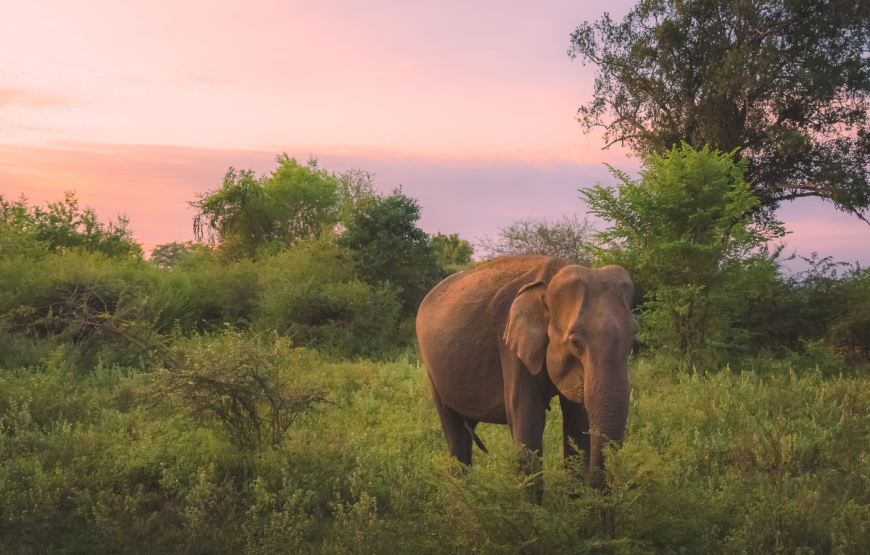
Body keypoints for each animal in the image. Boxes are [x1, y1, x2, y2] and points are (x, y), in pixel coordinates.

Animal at [418, 256, 636, 504]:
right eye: (575, 343)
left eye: (632, 341)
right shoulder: (510, 342)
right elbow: (529, 420)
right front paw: (530, 512)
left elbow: (577, 421)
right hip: (432, 370)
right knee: (455, 434)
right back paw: (462, 499)